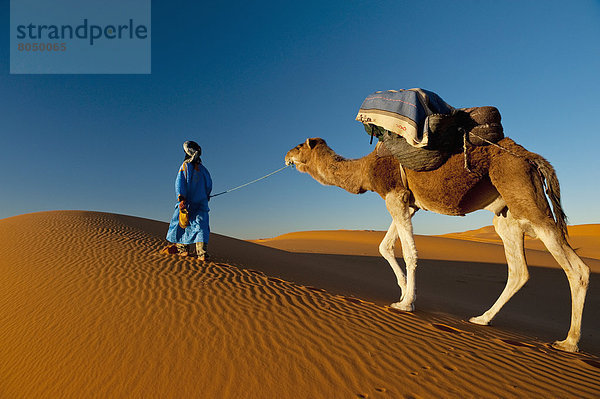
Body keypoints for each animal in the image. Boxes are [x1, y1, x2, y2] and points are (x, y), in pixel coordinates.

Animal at [284, 138, 592, 354]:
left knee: (576, 269)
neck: (366, 169)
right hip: (508, 215)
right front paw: (403, 290)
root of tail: (533, 159)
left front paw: (405, 303)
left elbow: (409, 252)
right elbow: (385, 247)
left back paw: (568, 342)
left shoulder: (394, 194)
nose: (286, 156)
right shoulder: (408, 203)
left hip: (526, 197)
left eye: (299, 145)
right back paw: (482, 319)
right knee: (520, 270)